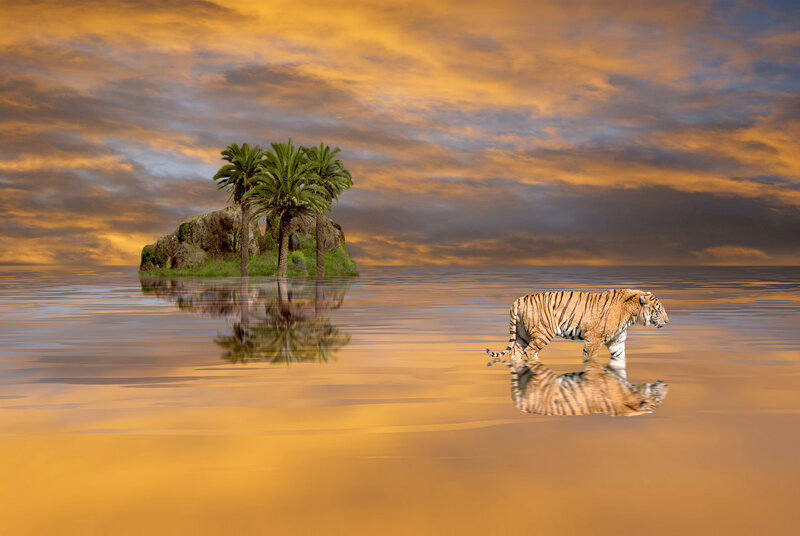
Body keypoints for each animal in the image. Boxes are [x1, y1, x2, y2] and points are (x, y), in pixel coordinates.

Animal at [486, 289, 668, 379]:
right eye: (658, 310)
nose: (667, 322)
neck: (632, 315)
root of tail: (519, 299)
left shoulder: (617, 342)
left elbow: (619, 360)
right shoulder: (594, 339)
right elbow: (590, 359)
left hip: (522, 335)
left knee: (515, 352)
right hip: (543, 333)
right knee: (530, 351)